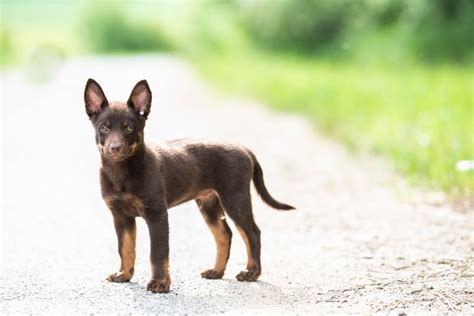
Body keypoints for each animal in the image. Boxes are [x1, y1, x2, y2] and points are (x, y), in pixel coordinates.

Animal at [83, 79, 294, 294]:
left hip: (235, 198)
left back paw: (251, 272)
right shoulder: (120, 216)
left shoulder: (156, 214)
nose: (115, 148)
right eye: (104, 128)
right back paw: (216, 271)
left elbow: (158, 253)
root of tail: (243, 148)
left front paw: (160, 283)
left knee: (252, 233)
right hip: (209, 204)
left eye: (129, 128)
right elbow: (125, 248)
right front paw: (124, 274)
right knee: (225, 234)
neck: (122, 172)